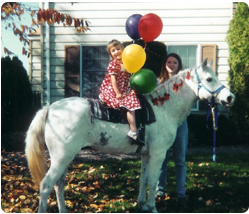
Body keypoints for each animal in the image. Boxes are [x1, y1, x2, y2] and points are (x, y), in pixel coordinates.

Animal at [25, 58, 235, 212]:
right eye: (209, 79)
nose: (230, 97)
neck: (163, 108)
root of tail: (50, 108)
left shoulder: (146, 154)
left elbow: (143, 179)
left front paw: (142, 205)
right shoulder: (158, 154)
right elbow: (153, 181)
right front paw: (152, 208)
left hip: (65, 157)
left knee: (58, 184)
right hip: (61, 157)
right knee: (46, 186)